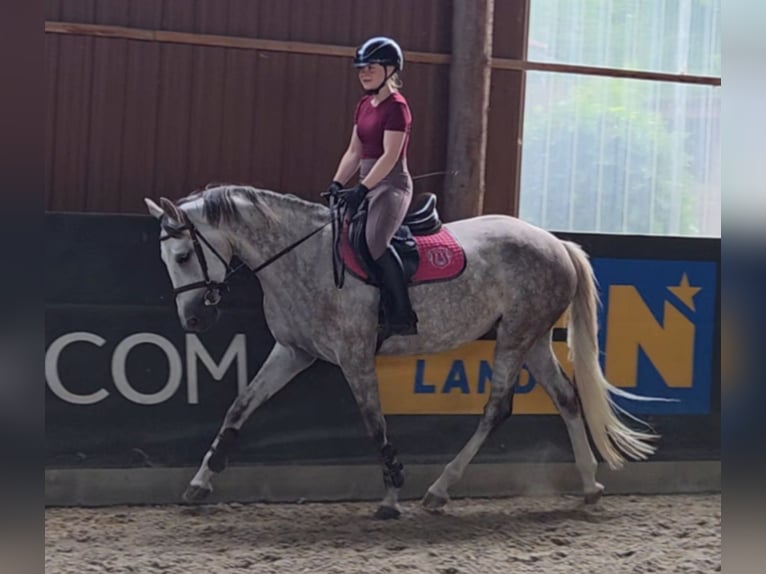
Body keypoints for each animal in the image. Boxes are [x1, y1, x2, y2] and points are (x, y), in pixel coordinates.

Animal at [144, 184, 658, 519]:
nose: (193, 321)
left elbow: (375, 423)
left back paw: (439, 490)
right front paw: (200, 483)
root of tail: (555, 242)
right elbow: (240, 406)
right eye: (167, 259)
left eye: (184, 256)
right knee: (567, 399)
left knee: (497, 408)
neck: (300, 258)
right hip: (530, 340)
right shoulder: (292, 352)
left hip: (515, 338)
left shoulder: (353, 358)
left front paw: (391, 498)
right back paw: (589, 487)